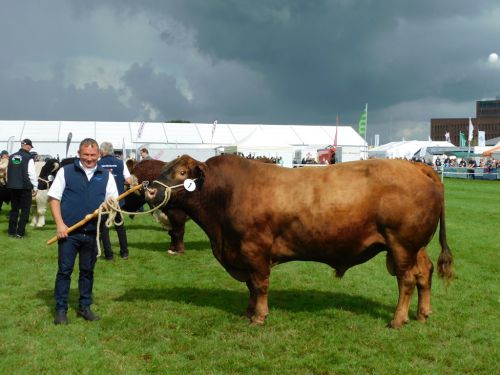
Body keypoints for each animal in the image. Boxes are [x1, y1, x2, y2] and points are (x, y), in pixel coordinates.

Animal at [145, 154, 454, 328]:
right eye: (165, 169)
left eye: (181, 172)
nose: (149, 191)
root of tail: (417, 168)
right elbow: (250, 287)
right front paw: (248, 312)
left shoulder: (255, 249)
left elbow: (260, 284)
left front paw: (259, 316)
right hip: (416, 247)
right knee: (424, 273)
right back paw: (422, 314)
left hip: (401, 244)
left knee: (406, 281)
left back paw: (398, 319)